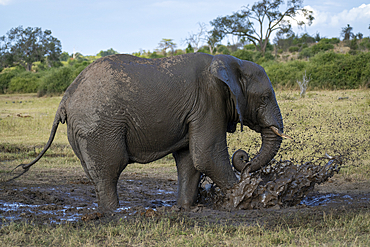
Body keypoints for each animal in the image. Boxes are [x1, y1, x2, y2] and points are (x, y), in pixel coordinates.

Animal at [19, 53, 292, 211]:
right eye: (265, 97)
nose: (245, 160)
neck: (230, 62)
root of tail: (64, 99)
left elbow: (189, 159)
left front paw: (184, 208)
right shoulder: (208, 101)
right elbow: (207, 155)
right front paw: (249, 199)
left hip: (82, 130)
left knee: (96, 174)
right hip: (99, 125)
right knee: (110, 169)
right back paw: (115, 213)